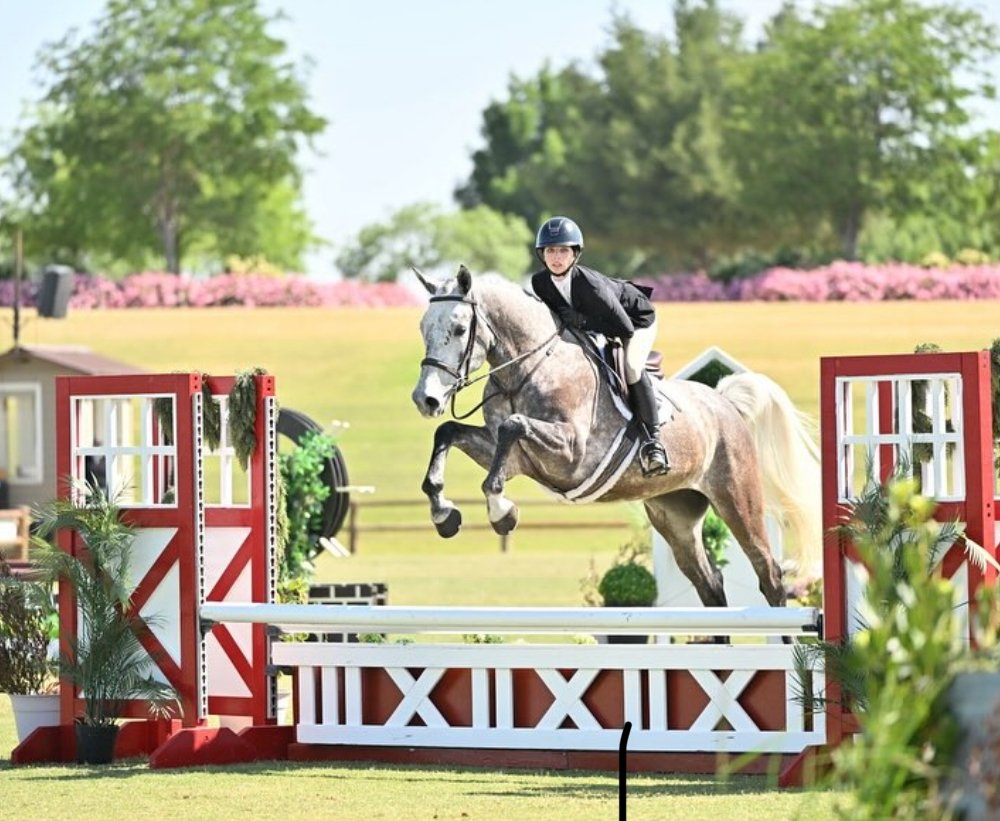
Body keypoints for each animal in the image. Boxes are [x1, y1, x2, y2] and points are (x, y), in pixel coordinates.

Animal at [410, 265, 821, 608]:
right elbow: (450, 431)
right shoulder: (515, 458)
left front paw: (501, 513)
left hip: (737, 499)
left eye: (459, 329)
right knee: (710, 582)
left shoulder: (571, 454)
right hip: (675, 515)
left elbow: (513, 426)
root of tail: (722, 401)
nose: (425, 399)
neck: (527, 367)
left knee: (769, 573)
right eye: (422, 328)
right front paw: (444, 514)